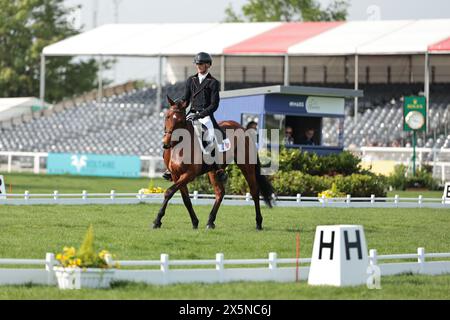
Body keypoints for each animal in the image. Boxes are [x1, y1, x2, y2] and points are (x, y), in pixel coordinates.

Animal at [153, 95, 274, 230]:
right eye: (167, 116)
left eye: (180, 120)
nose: (166, 143)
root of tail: (242, 128)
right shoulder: (175, 175)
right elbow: (186, 199)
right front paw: (195, 222)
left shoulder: (189, 174)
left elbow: (169, 192)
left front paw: (157, 220)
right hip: (213, 171)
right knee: (220, 192)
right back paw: (210, 222)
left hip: (246, 166)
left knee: (254, 191)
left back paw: (258, 223)